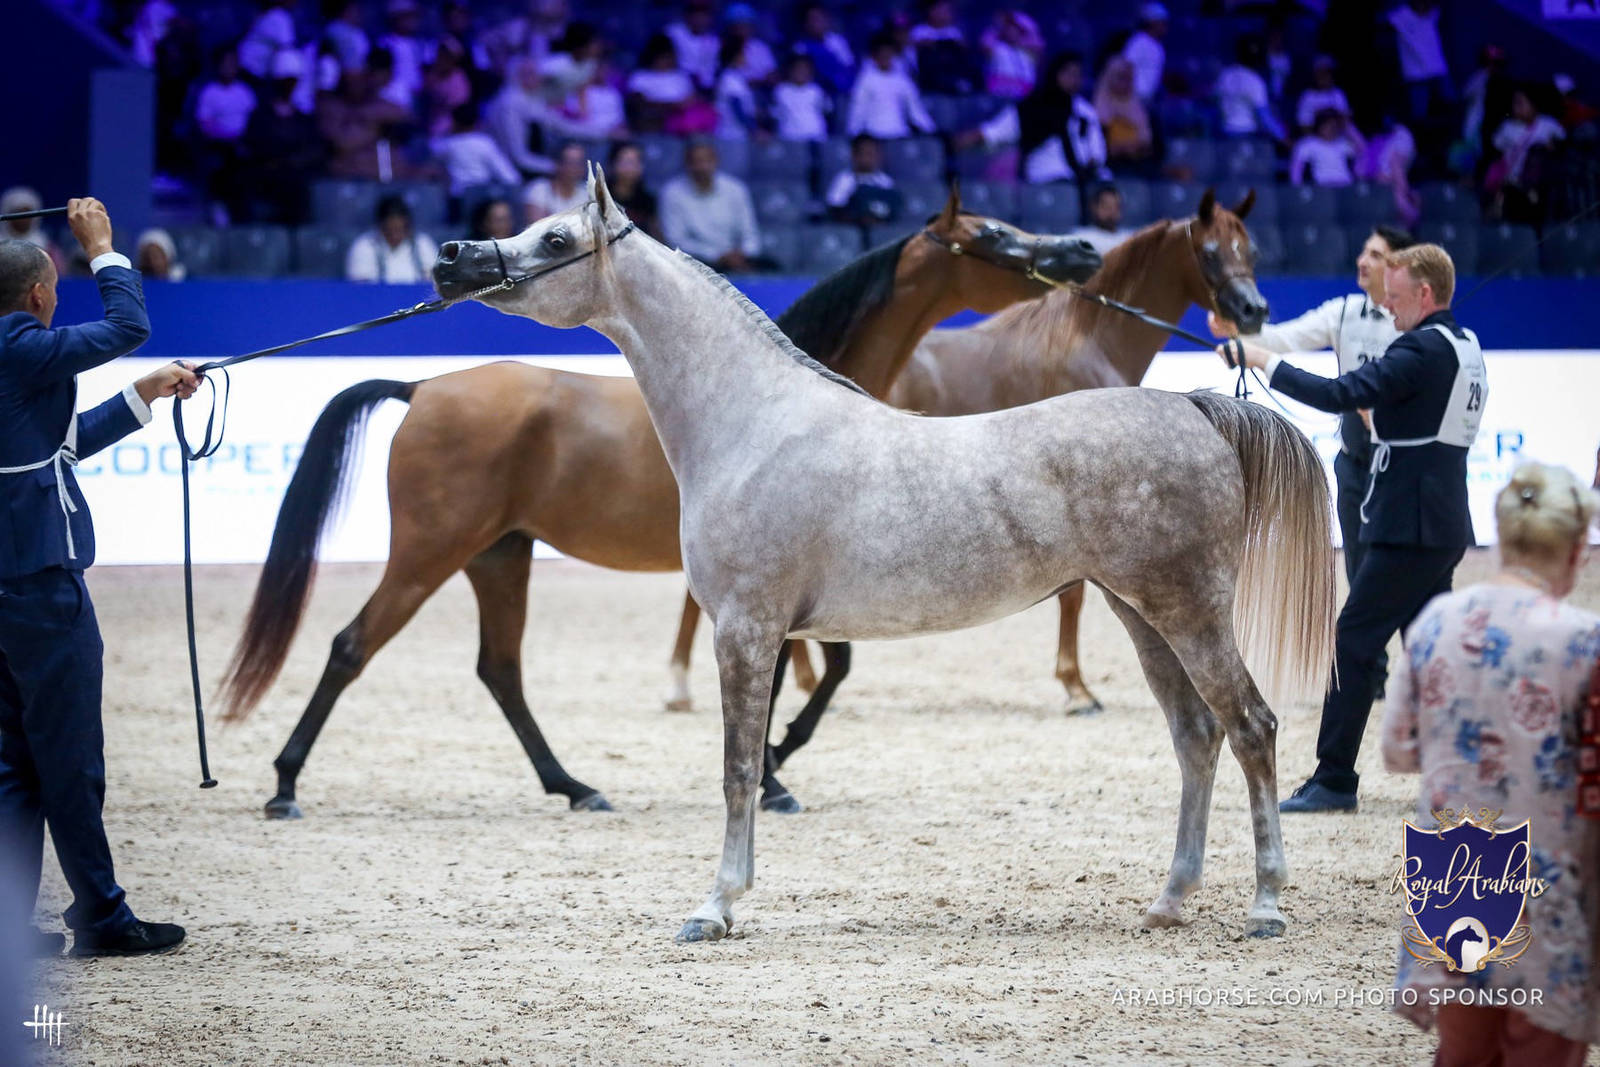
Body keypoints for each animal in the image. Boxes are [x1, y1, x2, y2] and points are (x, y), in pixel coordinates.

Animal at [220, 188, 1101, 820]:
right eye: (993, 237)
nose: (1080, 250)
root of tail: (423, 386)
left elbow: (817, 669)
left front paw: (772, 763)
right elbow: (820, 672)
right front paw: (777, 769)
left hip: (498, 555)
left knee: (499, 669)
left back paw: (574, 786)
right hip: (428, 552)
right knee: (351, 646)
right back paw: (286, 785)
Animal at [891, 191, 1268, 718]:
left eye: (1251, 250)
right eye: (1210, 253)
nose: (1253, 310)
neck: (1088, 340)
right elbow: (1072, 596)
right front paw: (1077, 689)